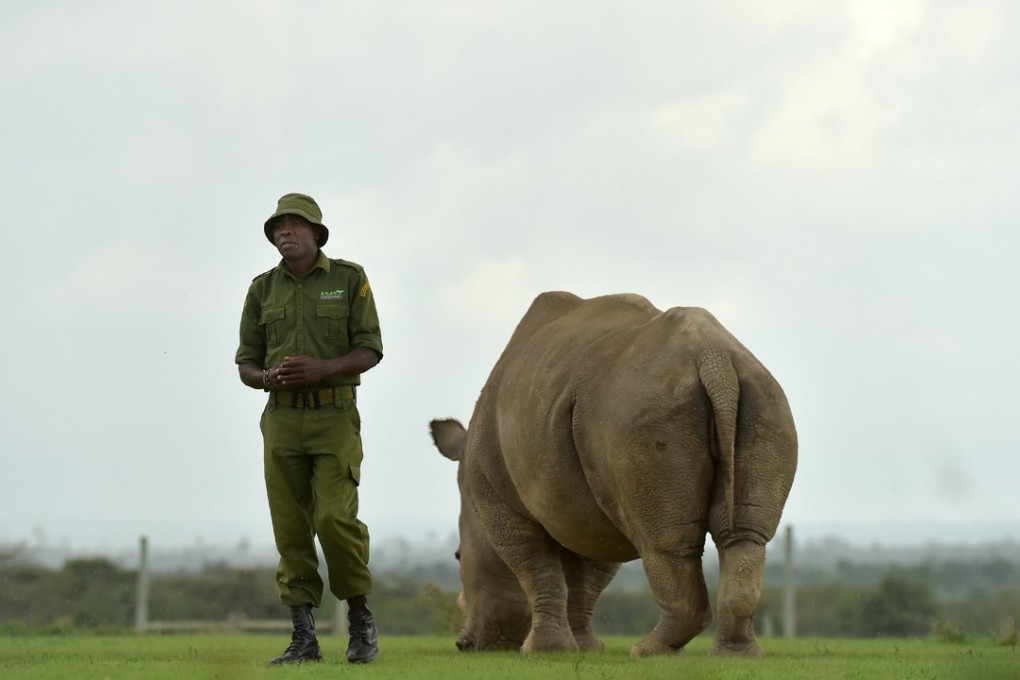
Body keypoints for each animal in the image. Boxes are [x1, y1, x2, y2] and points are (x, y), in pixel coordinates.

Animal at [429, 291, 797, 657]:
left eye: (458, 556)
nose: (465, 644)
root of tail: (713, 357)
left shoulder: (500, 501)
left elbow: (537, 566)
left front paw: (544, 650)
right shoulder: (588, 505)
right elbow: (584, 572)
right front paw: (582, 648)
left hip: (642, 409)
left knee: (664, 541)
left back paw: (647, 651)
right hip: (763, 398)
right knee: (743, 536)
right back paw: (734, 654)